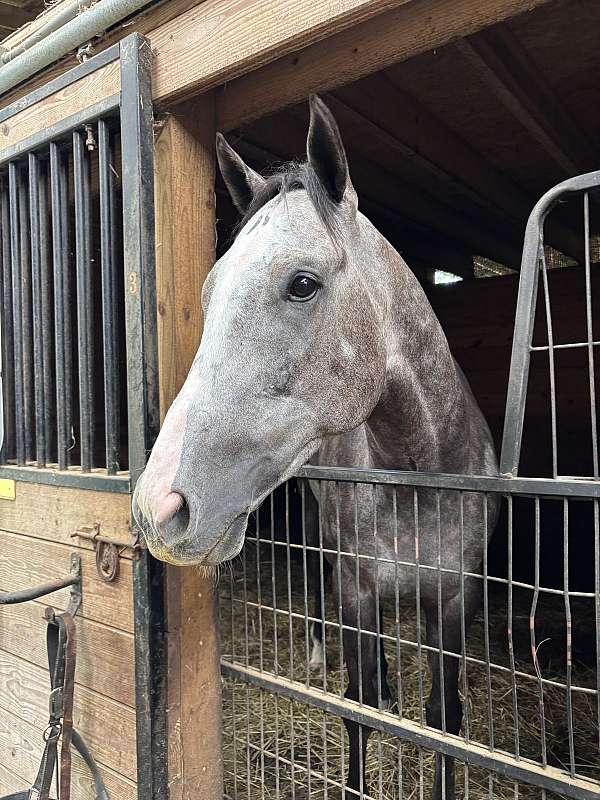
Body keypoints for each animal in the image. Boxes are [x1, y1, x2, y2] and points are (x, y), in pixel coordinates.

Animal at [133, 95, 500, 799]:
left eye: (301, 283)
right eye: (209, 291)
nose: (160, 508)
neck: (418, 471)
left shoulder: (455, 598)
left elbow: (445, 719)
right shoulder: (356, 589)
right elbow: (357, 707)